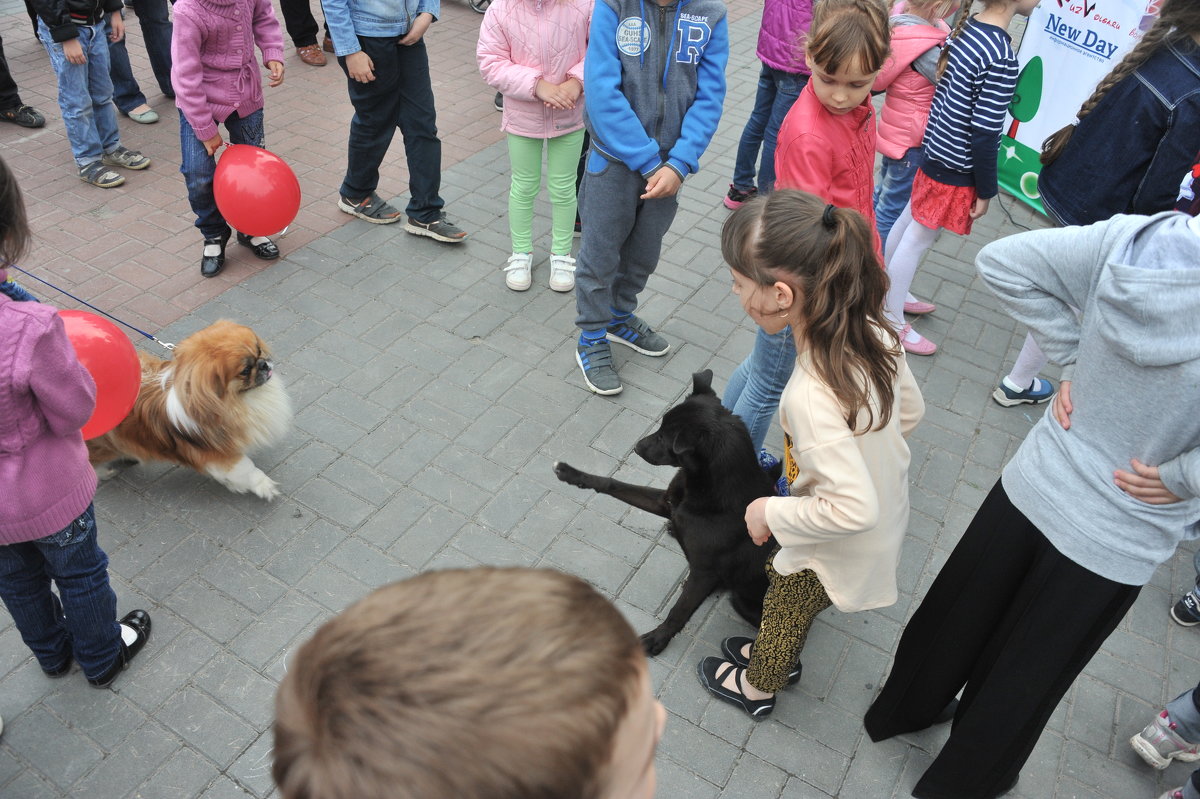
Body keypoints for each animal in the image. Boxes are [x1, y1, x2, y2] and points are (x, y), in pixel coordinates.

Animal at [552, 369, 777, 652]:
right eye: (659, 428)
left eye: (663, 437)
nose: (636, 447)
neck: (706, 487)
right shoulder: (665, 502)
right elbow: (613, 483)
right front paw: (573, 475)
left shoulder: (704, 573)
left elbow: (678, 612)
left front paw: (658, 638)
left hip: (745, 603)